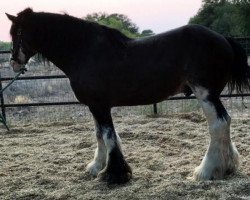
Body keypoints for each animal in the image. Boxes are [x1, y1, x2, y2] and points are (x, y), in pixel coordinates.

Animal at [5, 8, 250, 184]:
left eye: (17, 33)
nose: (13, 62)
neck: (84, 50)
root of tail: (224, 39)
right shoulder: (95, 106)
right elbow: (99, 135)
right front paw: (97, 167)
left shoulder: (100, 106)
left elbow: (108, 136)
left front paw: (113, 174)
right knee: (225, 122)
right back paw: (226, 167)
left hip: (206, 94)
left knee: (218, 124)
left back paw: (206, 171)